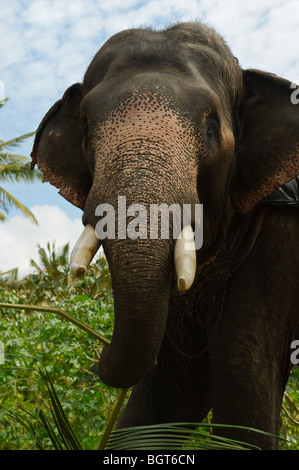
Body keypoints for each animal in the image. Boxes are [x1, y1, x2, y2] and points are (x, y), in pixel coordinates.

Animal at [30, 22, 299, 448]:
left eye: (211, 127)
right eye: (86, 128)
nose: (97, 360)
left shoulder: (279, 236)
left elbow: (243, 371)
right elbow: (172, 387)